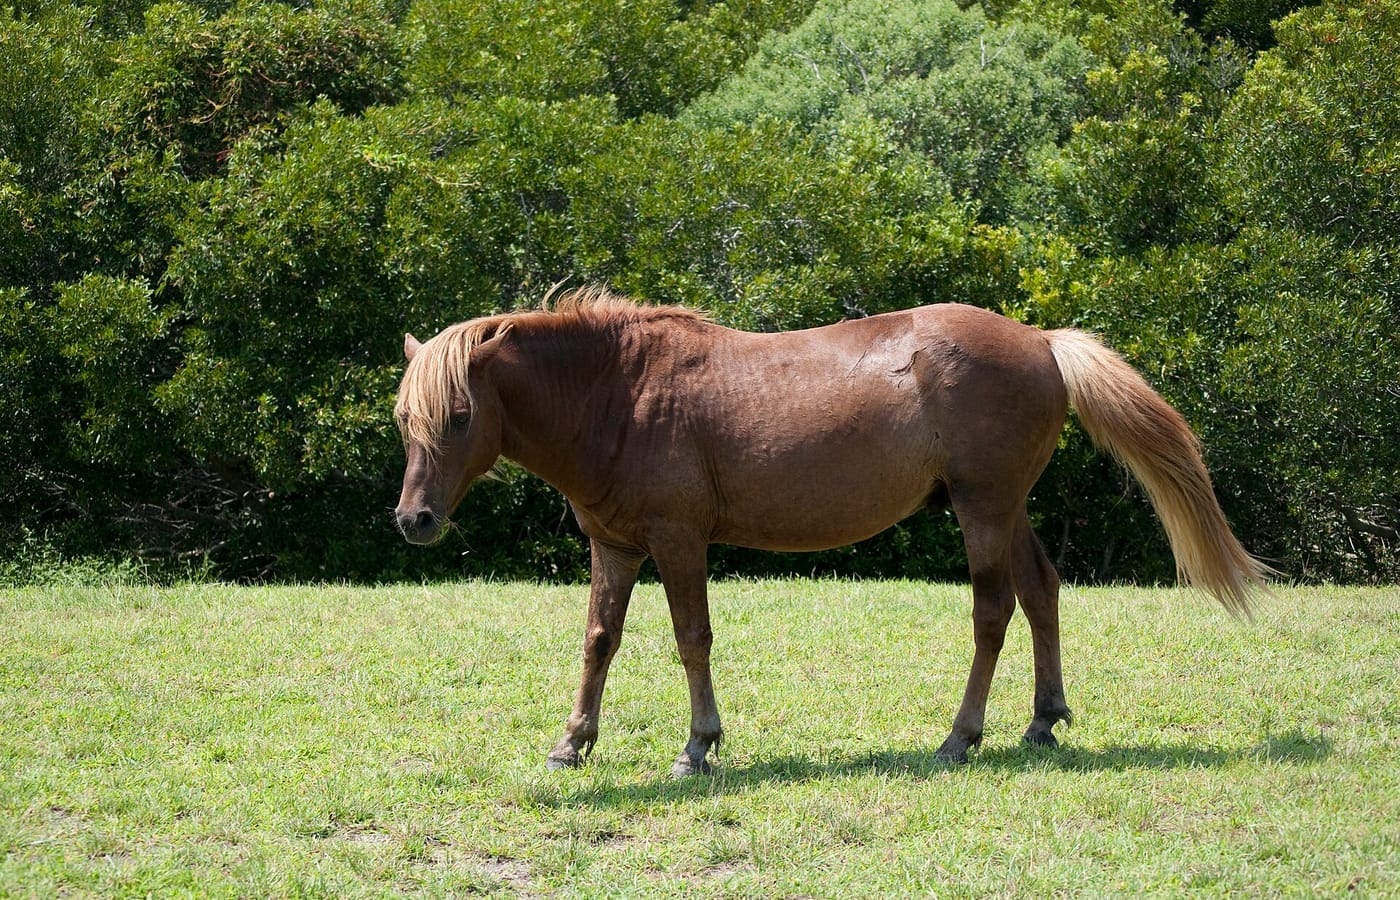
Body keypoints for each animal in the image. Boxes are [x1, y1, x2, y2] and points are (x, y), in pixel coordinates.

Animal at [393, 287, 1269, 776]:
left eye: (458, 414)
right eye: (406, 418)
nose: (414, 519)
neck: (622, 393)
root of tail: (1041, 342)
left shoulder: (678, 543)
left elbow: (691, 640)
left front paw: (698, 748)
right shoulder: (614, 547)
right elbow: (599, 642)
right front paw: (572, 743)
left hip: (982, 511)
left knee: (993, 612)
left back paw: (960, 738)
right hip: (1003, 507)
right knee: (1042, 592)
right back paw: (1041, 722)